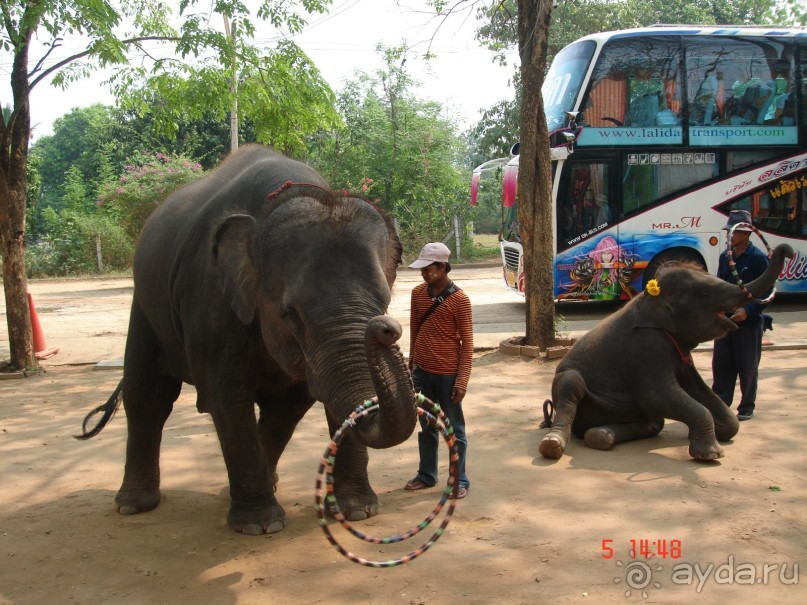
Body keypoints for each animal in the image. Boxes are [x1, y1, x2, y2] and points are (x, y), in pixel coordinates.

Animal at [77, 146, 416, 532]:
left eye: (384, 301)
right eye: (290, 314)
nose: (385, 328)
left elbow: (301, 399)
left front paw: (358, 511)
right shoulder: (210, 299)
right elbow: (226, 395)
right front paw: (260, 525)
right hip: (146, 308)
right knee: (148, 394)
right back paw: (133, 505)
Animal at [540, 243, 792, 460]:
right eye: (703, 293)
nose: (787, 251)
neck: (650, 299)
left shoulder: (680, 355)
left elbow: (696, 391)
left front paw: (720, 433)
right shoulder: (646, 350)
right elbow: (657, 396)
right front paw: (710, 455)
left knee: (653, 423)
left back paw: (601, 434)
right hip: (571, 387)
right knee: (572, 383)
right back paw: (553, 444)